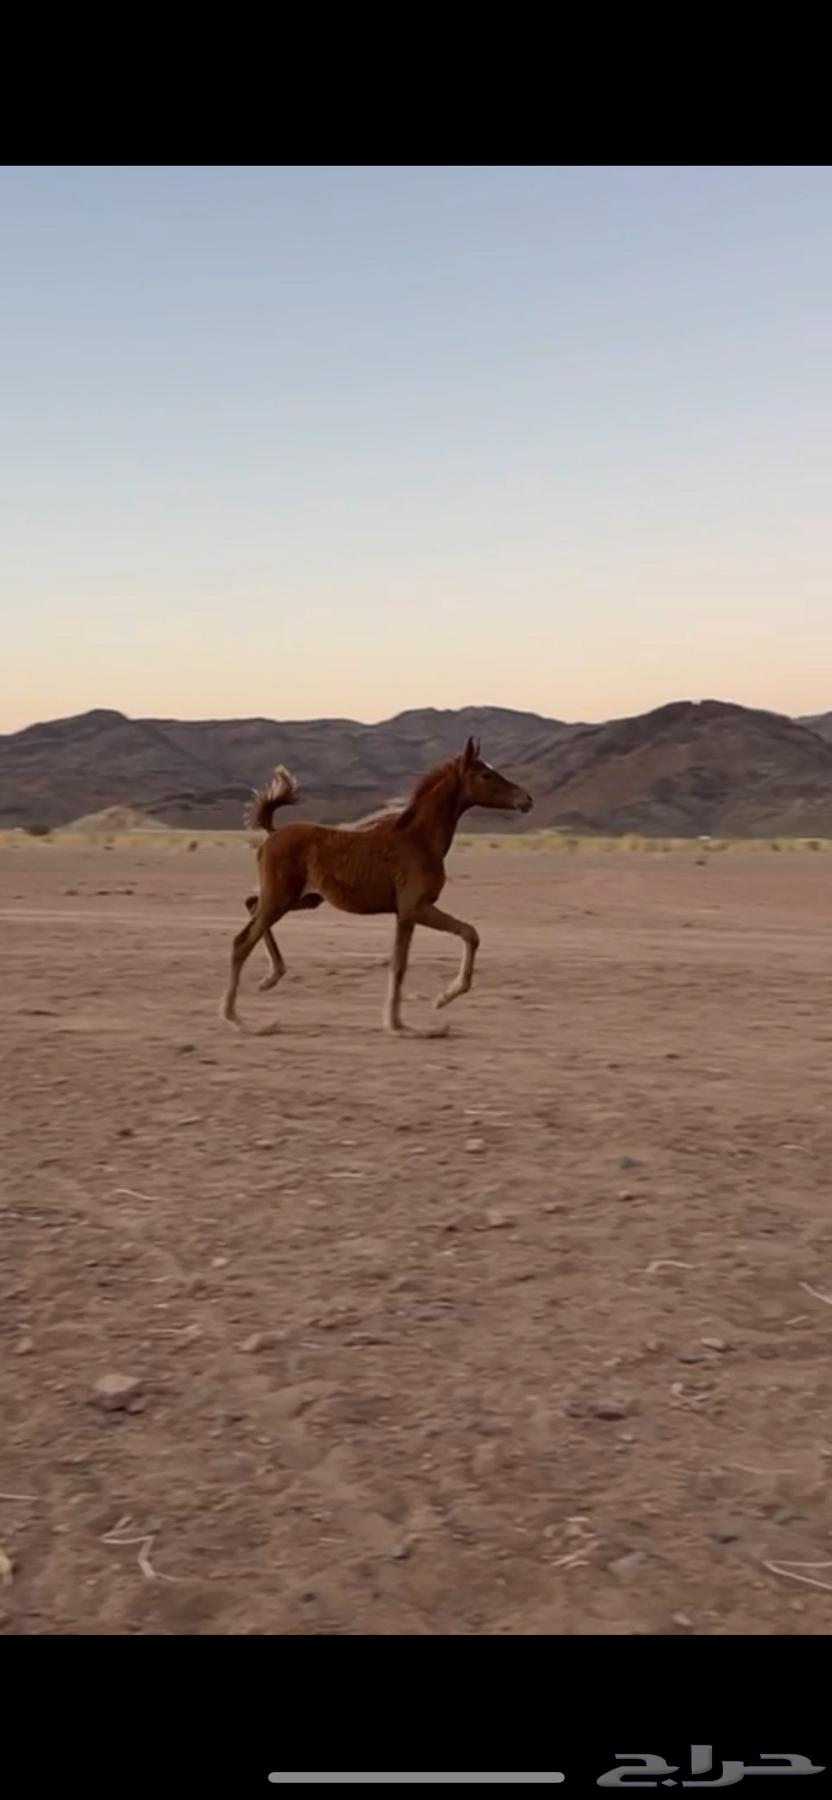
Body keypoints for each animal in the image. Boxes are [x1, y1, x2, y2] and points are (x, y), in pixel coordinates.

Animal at [220, 737, 532, 1036]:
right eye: (485, 774)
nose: (526, 800)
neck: (419, 841)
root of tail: (271, 834)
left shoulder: (405, 913)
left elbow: (405, 960)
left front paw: (404, 1020)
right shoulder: (413, 909)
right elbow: (460, 937)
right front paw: (426, 1009)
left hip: (302, 898)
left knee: (251, 905)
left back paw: (271, 977)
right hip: (281, 898)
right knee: (241, 942)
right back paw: (239, 1020)